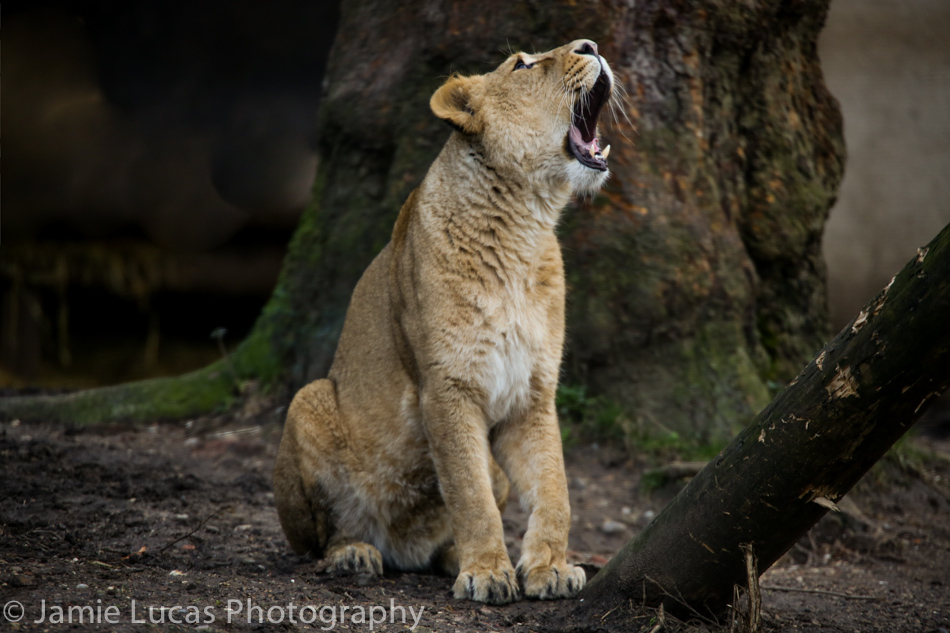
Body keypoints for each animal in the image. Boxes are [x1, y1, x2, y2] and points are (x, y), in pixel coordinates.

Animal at [273, 39, 614, 605]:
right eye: (523, 64)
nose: (592, 46)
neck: (525, 226)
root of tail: (402, 549)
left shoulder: (532, 393)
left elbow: (555, 487)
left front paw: (549, 567)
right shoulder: (446, 389)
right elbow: (468, 491)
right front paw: (488, 573)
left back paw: (449, 554)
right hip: (309, 402)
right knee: (323, 537)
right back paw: (354, 555)